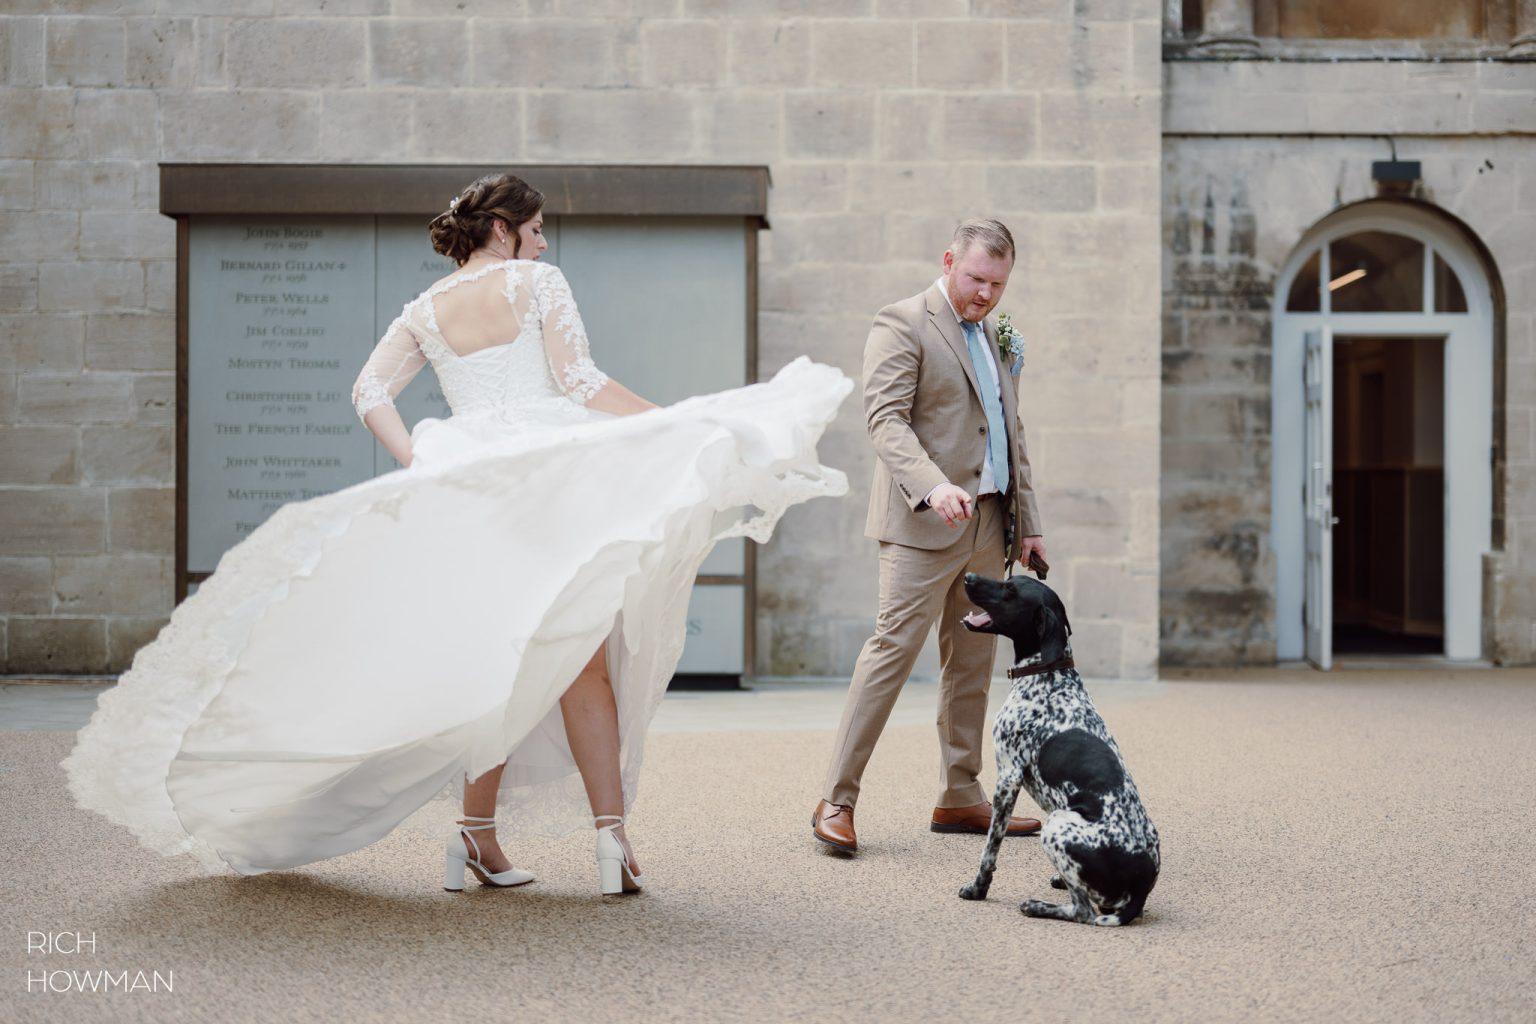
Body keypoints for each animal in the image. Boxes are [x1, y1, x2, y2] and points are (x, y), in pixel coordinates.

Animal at [952, 574, 1155, 927]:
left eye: (1010, 589)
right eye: (1011, 579)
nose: (969, 577)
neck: (1048, 674)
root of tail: (1140, 888)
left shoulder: (1008, 779)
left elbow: (989, 850)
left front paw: (978, 889)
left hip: (1056, 826)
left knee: (1082, 910)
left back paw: (1037, 906)